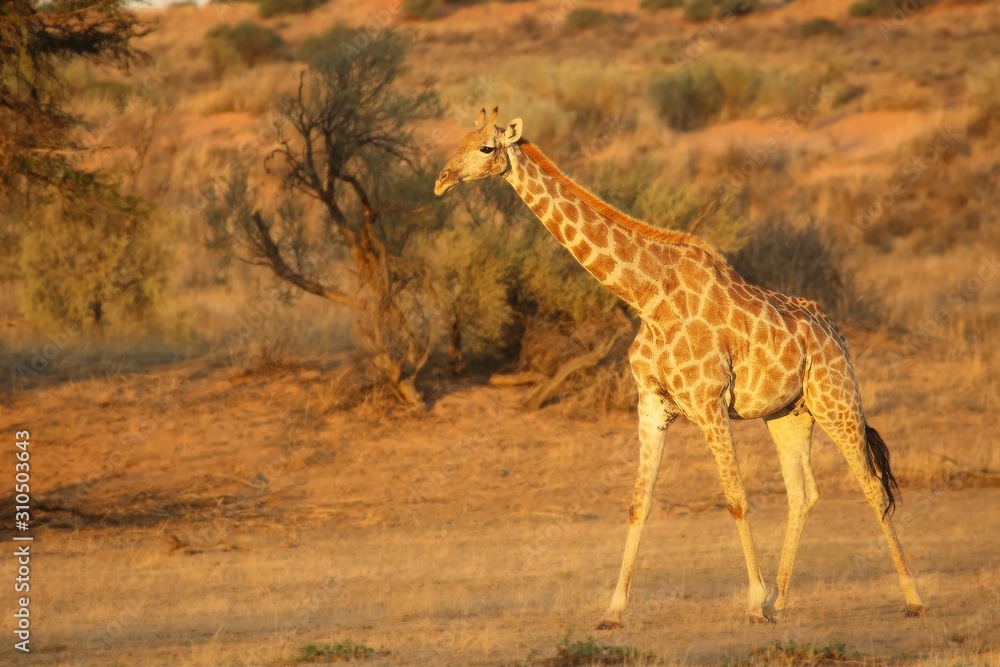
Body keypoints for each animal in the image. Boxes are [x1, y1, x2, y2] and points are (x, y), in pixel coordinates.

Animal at [434, 108, 926, 629]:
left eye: (486, 148)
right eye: (460, 141)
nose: (442, 180)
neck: (648, 298)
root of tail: (837, 333)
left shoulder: (708, 402)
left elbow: (735, 498)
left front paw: (752, 602)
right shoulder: (652, 404)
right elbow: (639, 503)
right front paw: (614, 611)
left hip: (837, 398)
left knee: (872, 486)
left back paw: (911, 598)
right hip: (788, 413)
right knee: (803, 492)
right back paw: (782, 602)